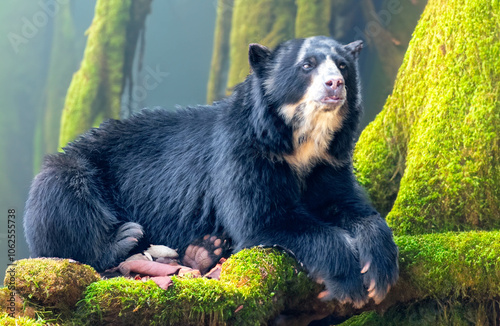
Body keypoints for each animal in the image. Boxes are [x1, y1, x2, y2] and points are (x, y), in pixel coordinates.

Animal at [23, 35, 398, 306]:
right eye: (307, 65)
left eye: (343, 65)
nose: (335, 84)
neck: (300, 142)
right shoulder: (241, 154)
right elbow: (264, 219)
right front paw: (349, 280)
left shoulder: (330, 162)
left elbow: (350, 206)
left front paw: (379, 270)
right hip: (72, 171)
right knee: (62, 204)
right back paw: (125, 238)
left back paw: (205, 250)